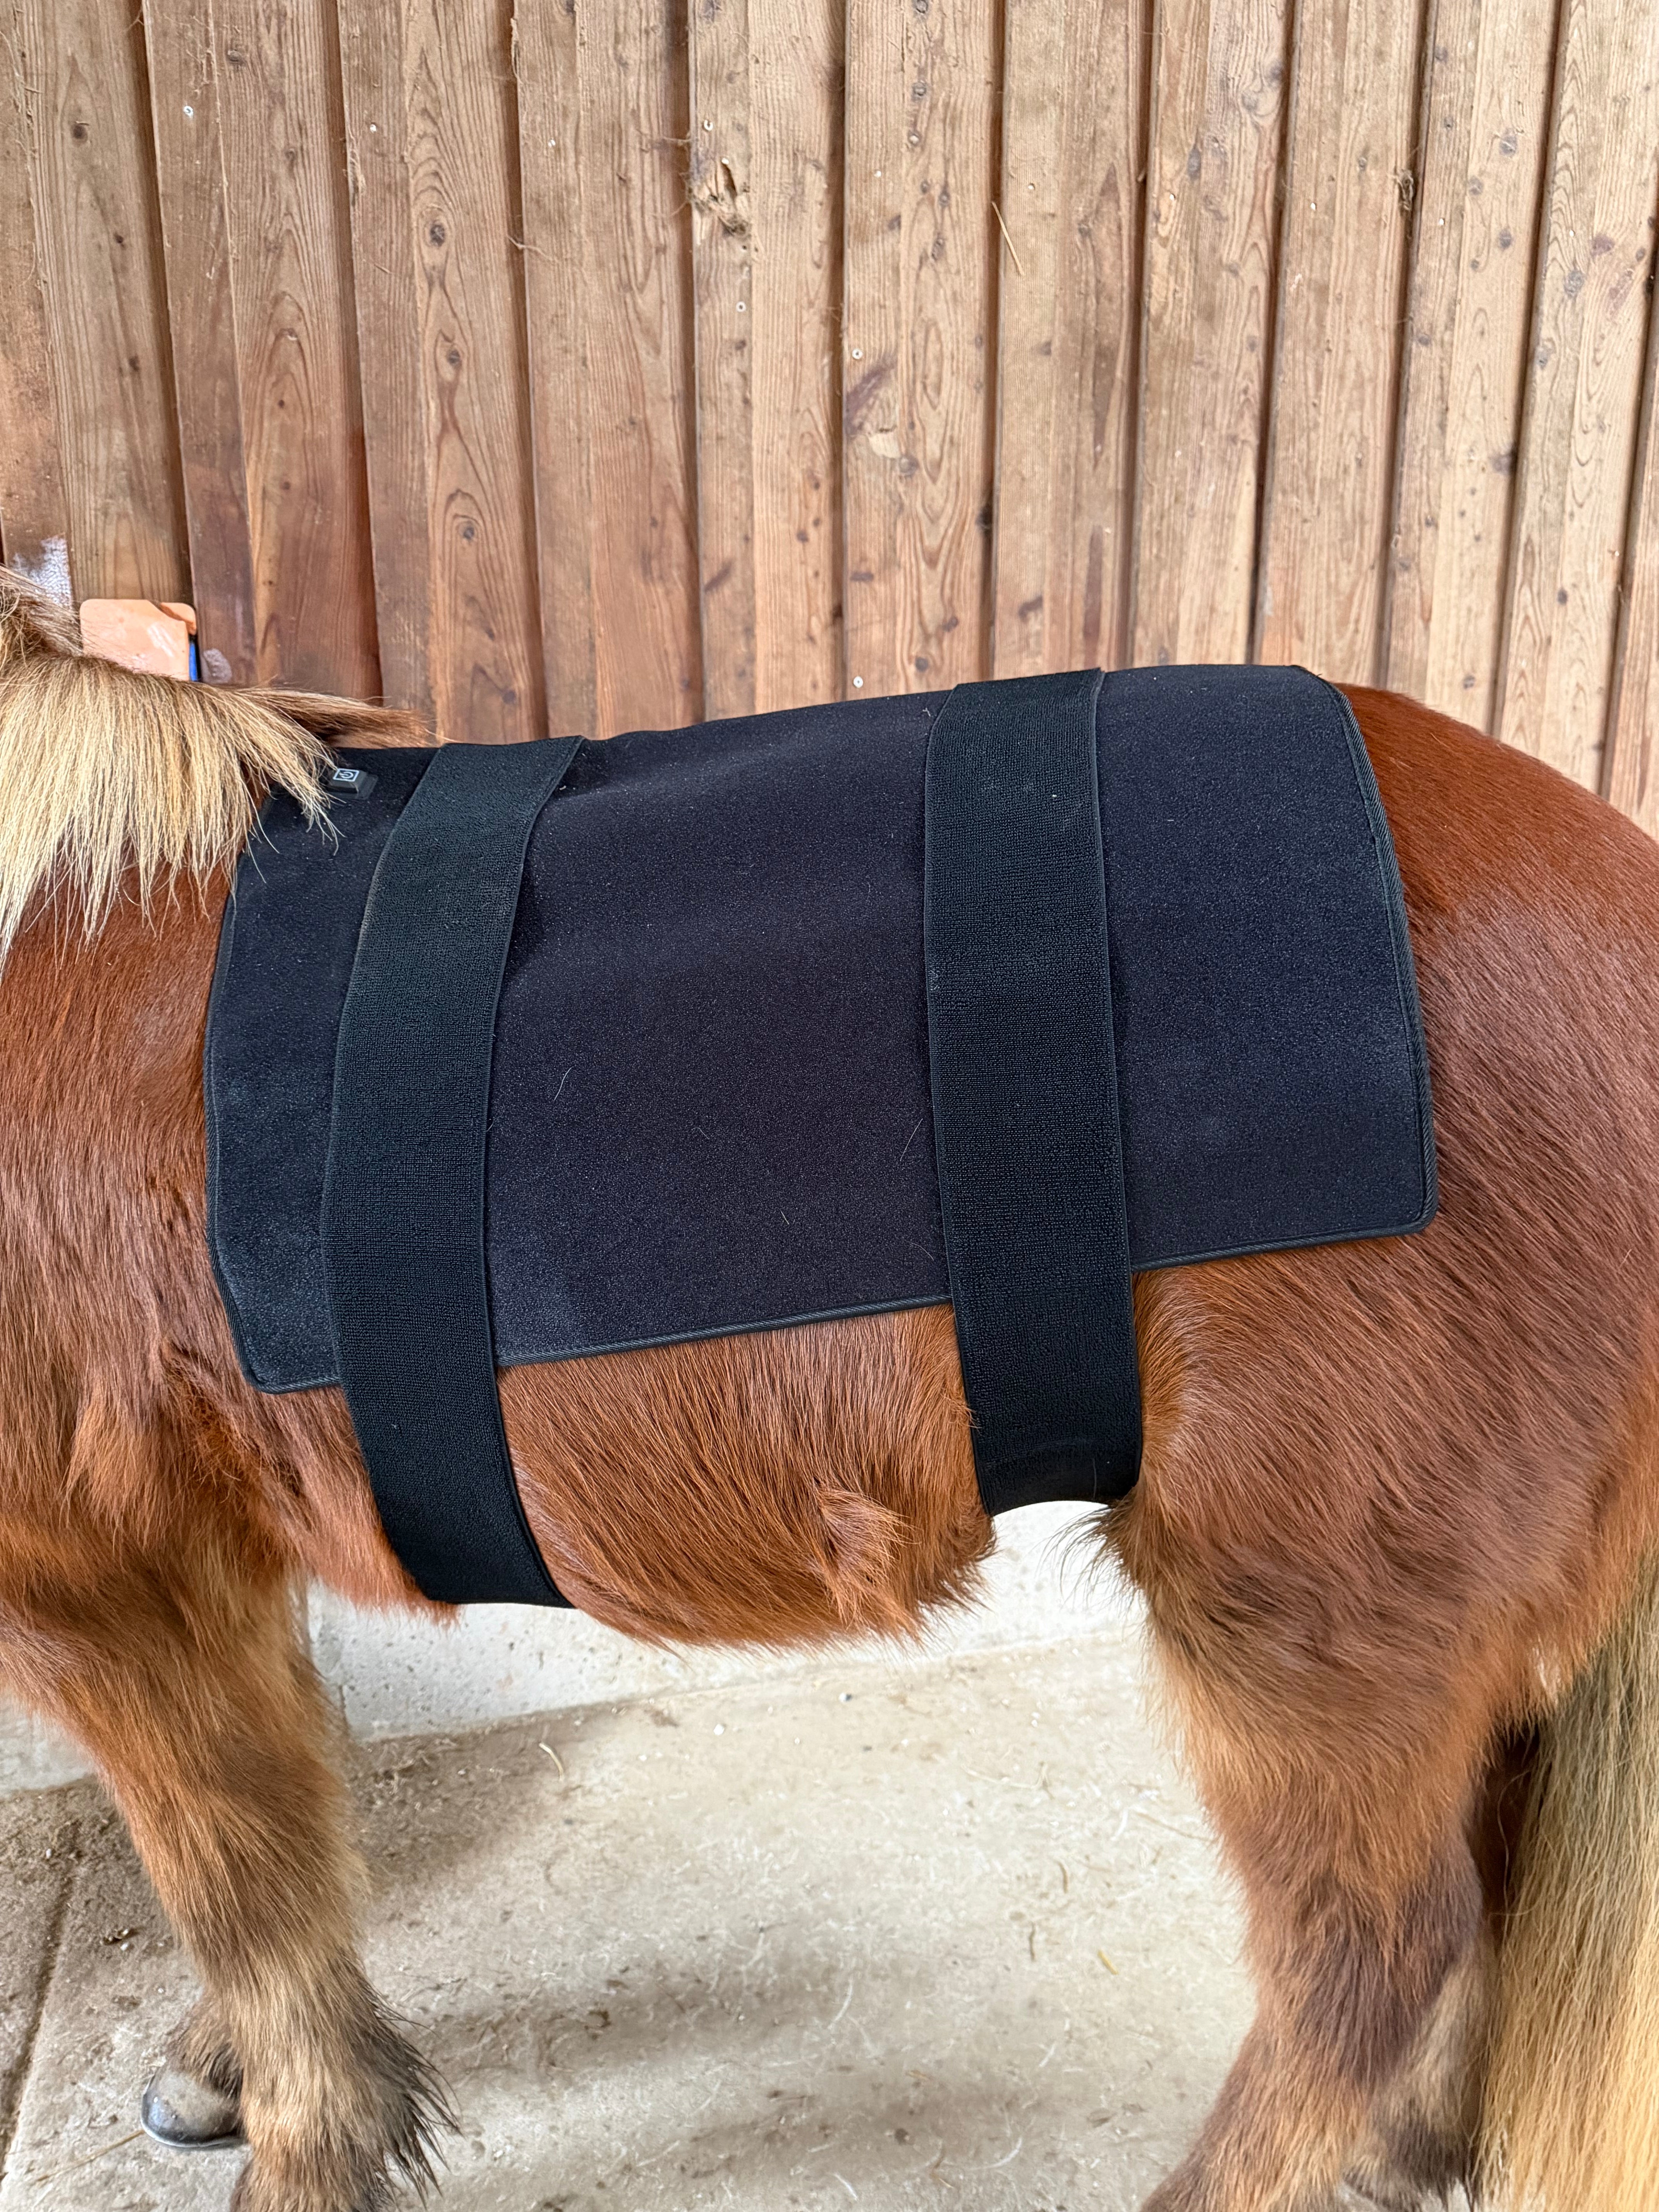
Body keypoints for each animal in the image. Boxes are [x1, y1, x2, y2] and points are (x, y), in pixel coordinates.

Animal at [0, 567, 1655, 2212]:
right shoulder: (200, 1550)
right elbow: (287, 1812)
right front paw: (228, 2065)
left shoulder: (100, 1579)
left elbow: (238, 1876)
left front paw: (306, 2130)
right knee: (1487, 1882)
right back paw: (1414, 2147)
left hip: (1315, 1614)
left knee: (1369, 1952)